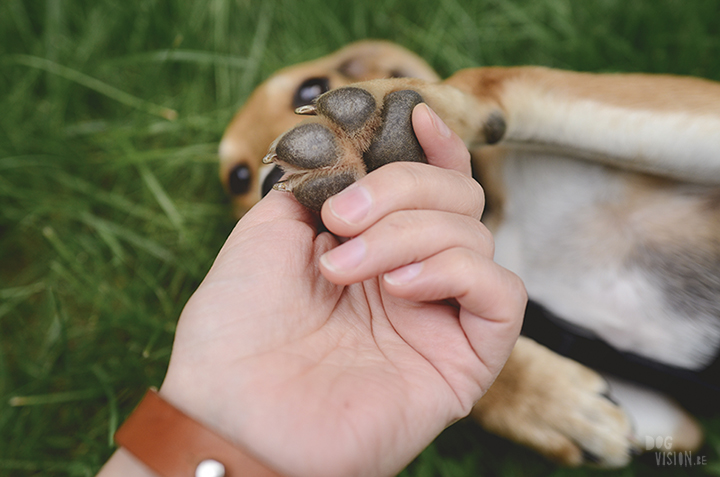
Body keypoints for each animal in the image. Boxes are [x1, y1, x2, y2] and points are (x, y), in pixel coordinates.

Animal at [219, 40, 720, 464]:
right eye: (237, 179)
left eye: (308, 88)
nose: (267, 183)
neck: (494, 216)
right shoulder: (673, 423)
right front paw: (550, 404)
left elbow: (486, 82)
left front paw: (382, 123)